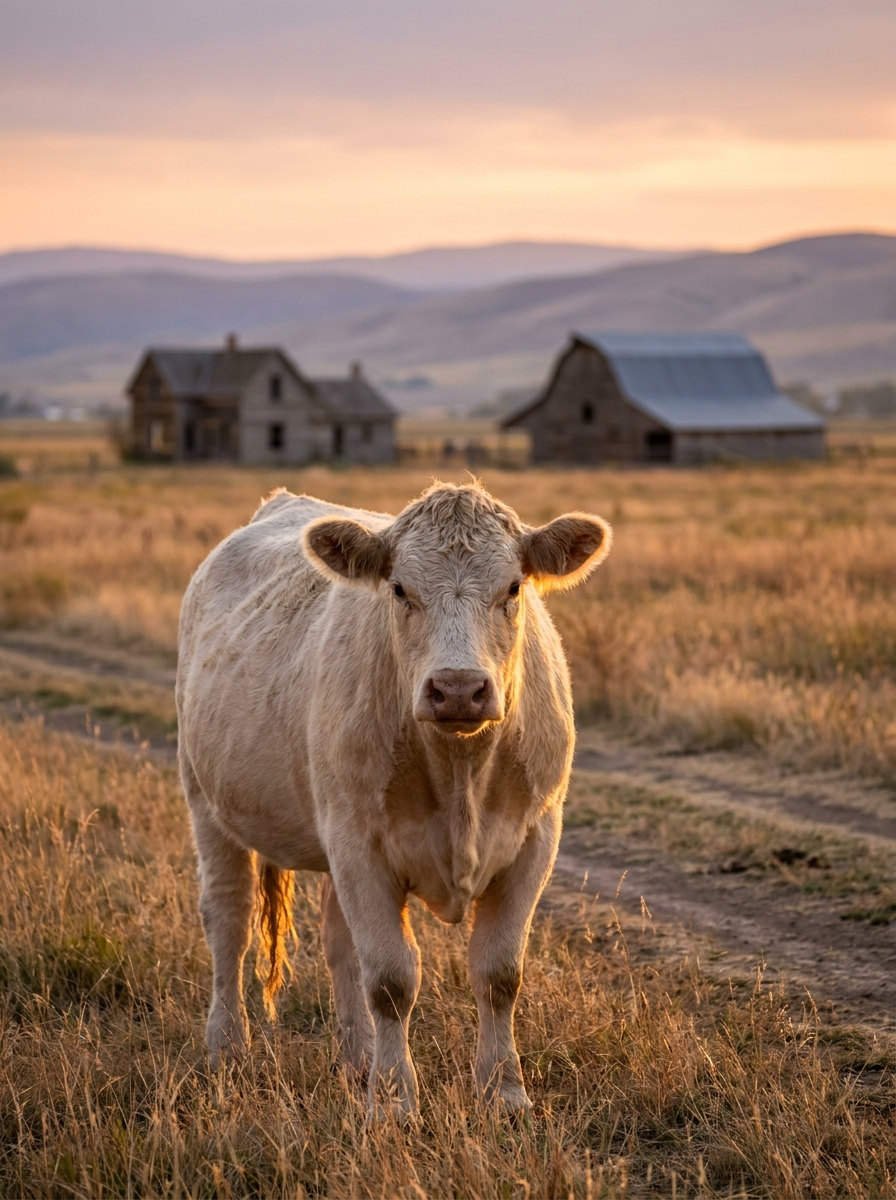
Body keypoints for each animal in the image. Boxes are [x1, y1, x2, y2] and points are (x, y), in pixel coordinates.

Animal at [176, 481, 611, 1119]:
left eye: (513, 587)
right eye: (400, 588)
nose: (458, 688)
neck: (459, 769)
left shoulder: (536, 836)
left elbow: (499, 974)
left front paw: (504, 1093)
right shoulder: (360, 845)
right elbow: (391, 979)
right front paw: (394, 1101)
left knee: (339, 944)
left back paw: (357, 1061)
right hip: (208, 802)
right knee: (228, 920)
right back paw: (228, 1047)